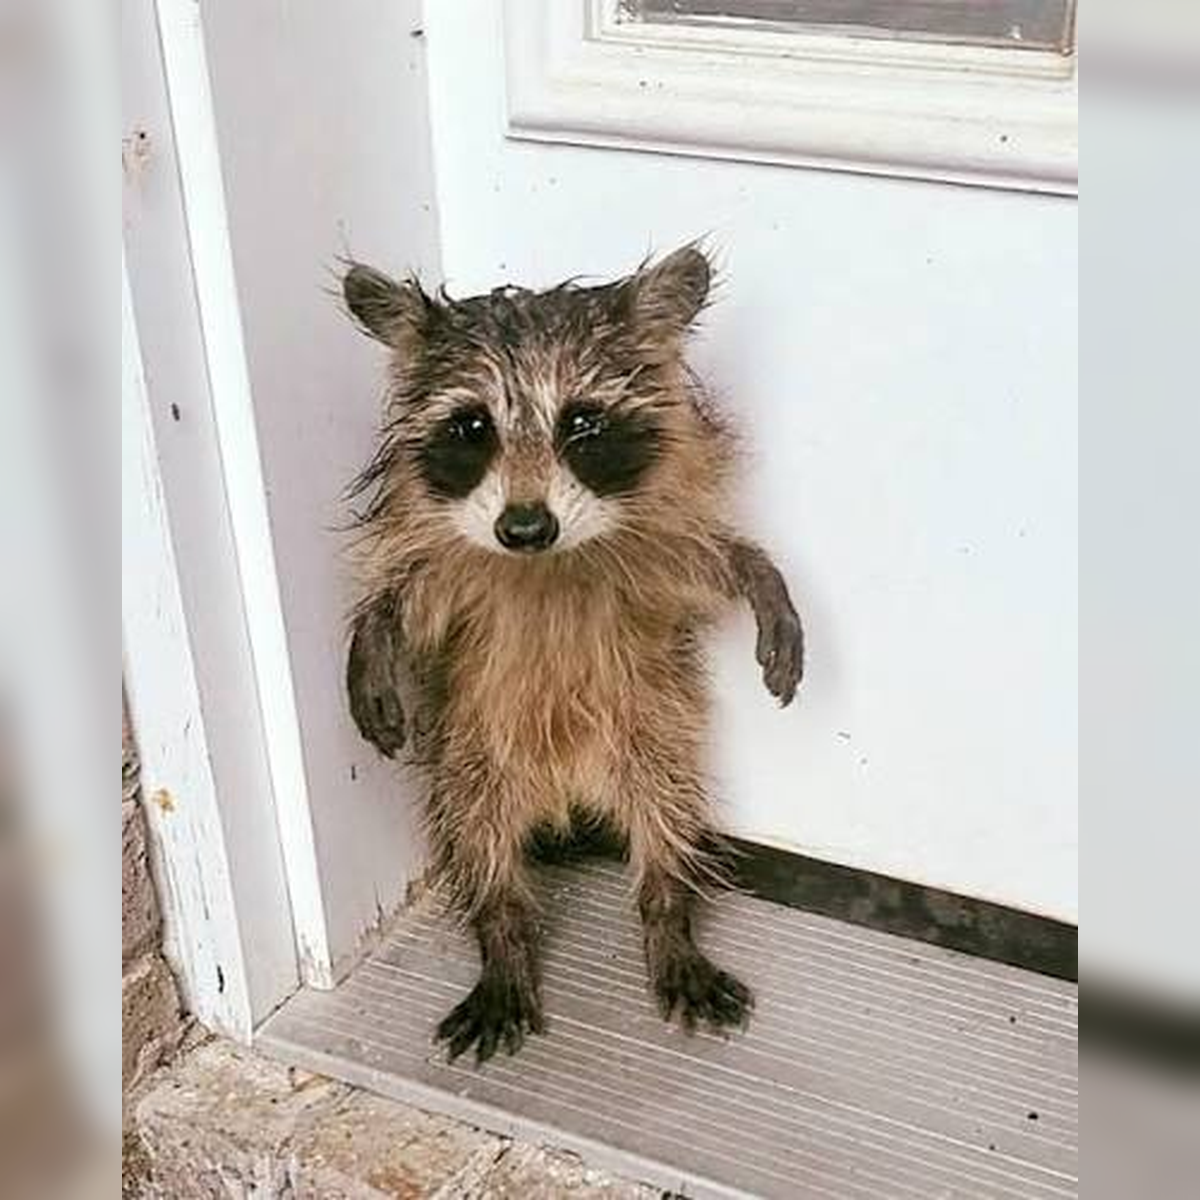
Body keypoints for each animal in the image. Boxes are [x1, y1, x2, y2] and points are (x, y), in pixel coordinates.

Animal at [343, 245, 803, 1063]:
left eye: (582, 421)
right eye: (472, 426)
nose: (525, 528)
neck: (546, 565)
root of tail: (567, 796)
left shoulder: (652, 552)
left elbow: (711, 561)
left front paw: (761, 576)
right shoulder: (452, 569)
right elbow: (408, 599)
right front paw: (372, 634)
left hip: (650, 729)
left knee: (668, 815)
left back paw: (667, 911)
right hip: (473, 750)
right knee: (476, 835)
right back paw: (501, 934)